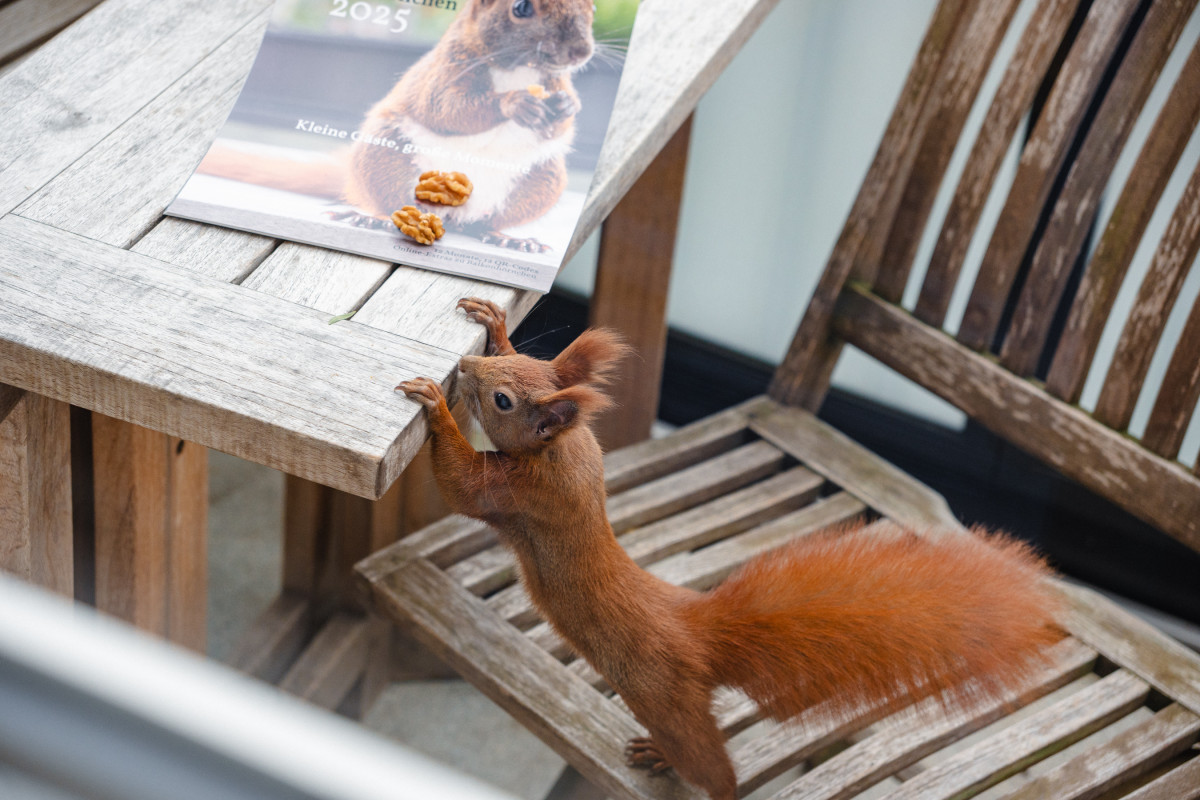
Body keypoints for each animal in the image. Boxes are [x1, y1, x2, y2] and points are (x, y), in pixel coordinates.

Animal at [201, 0, 595, 251]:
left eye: (591, 8)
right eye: (522, 7)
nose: (581, 52)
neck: (519, 69)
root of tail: (448, 213)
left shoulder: (555, 80)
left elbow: (560, 125)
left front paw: (568, 106)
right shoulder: (445, 69)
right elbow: (447, 108)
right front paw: (512, 102)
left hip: (541, 180)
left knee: (485, 222)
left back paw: (507, 237)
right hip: (384, 155)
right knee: (387, 200)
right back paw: (371, 218)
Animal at [400, 297, 1060, 796]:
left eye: (503, 402)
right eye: (526, 361)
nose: (466, 367)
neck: (558, 450)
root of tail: (699, 635)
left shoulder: (524, 495)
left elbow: (463, 486)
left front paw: (435, 405)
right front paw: (495, 324)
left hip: (666, 701)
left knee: (710, 765)